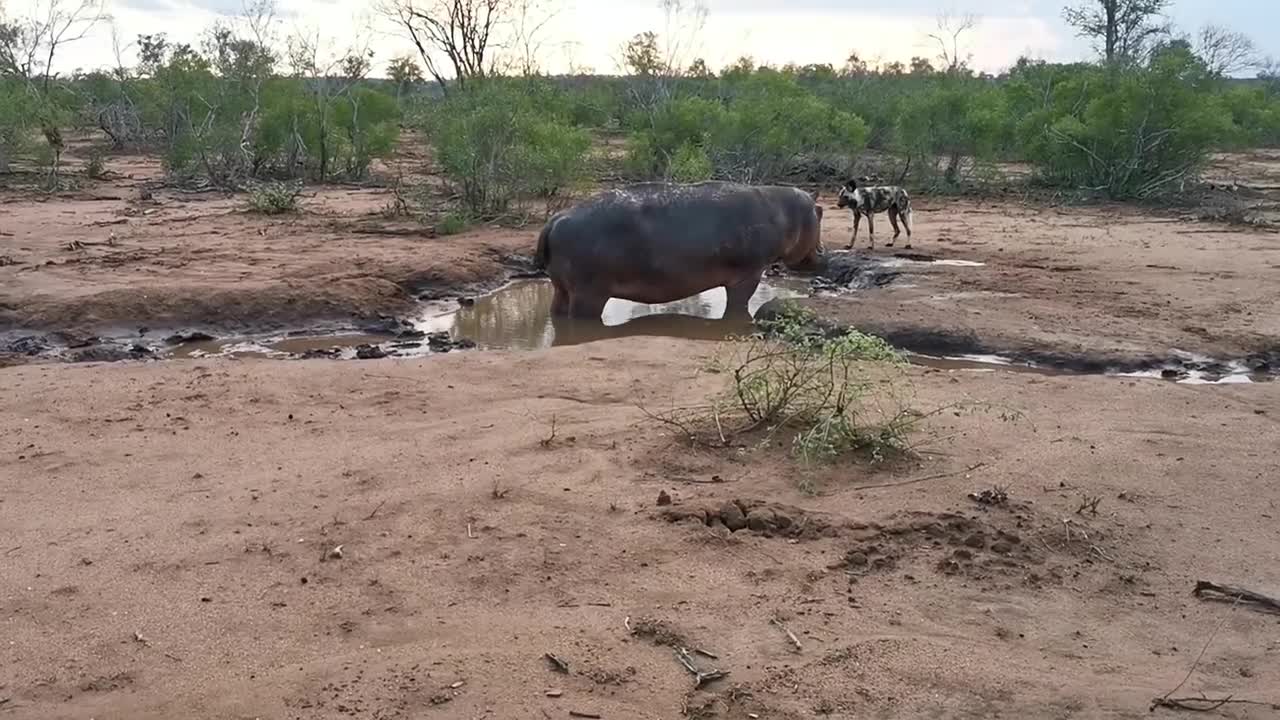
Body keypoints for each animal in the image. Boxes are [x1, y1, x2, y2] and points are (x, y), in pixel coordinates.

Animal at [532, 181, 824, 319]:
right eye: (820, 213)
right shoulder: (749, 274)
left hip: (562, 288)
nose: (822, 253)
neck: (786, 212)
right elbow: (738, 305)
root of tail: (557, 219)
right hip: (589, 294)